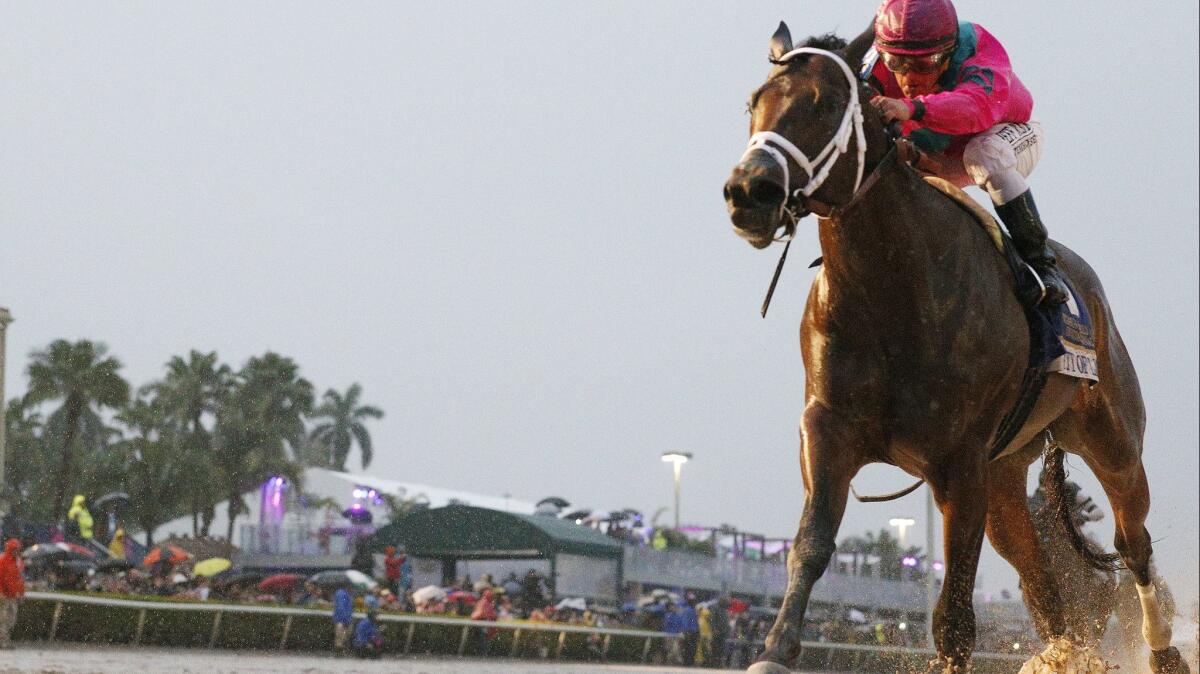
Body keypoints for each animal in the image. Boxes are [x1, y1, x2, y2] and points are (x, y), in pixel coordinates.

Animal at [720, 20, 1190, 671]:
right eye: (753, 103)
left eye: (825, 103)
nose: (749, 192)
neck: (891, 291)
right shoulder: (827, 427)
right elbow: (810, 545)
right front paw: (774, 649)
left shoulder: (961, 461)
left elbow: (955, 617)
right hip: (1007, 476)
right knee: (1045, 586)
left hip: (1111, 438)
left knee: (1132, 541)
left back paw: (1163, 650)